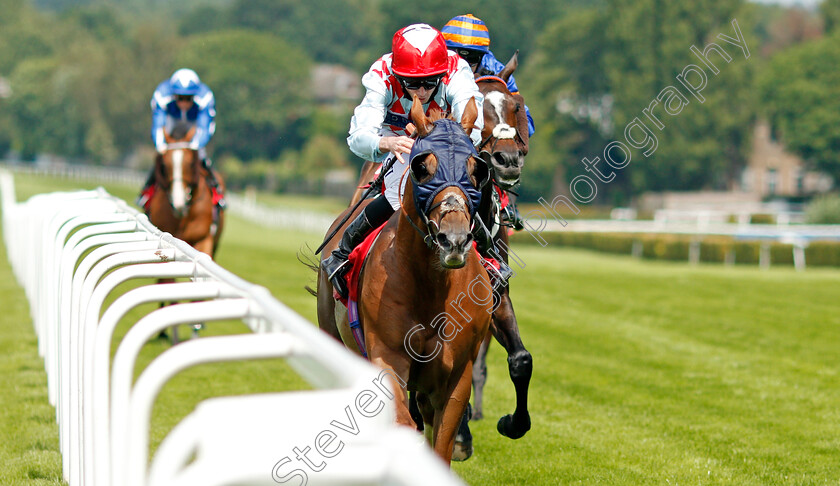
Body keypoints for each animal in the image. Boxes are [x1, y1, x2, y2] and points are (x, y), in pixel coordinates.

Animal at [318, 96, 496, 464]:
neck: (432, 289)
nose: (454, 239)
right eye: (422, 167)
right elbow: (399, 421)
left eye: (476, 168)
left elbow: (442, 443)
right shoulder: (387, 357)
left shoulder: (455, 377)